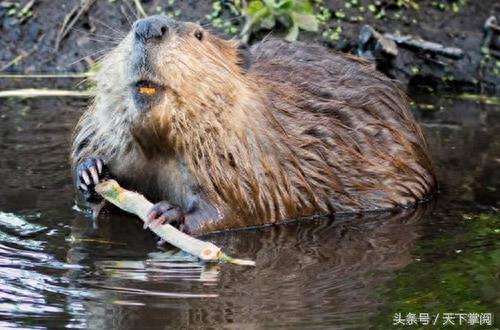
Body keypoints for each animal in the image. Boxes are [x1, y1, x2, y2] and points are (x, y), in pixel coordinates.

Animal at [70, 16, 434, 235]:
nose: (149, 26)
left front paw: (169, 214)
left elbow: (238, 210)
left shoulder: (246, 165)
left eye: (199, 34)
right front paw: (91, 172)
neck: (159, 142)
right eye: (130, 28)